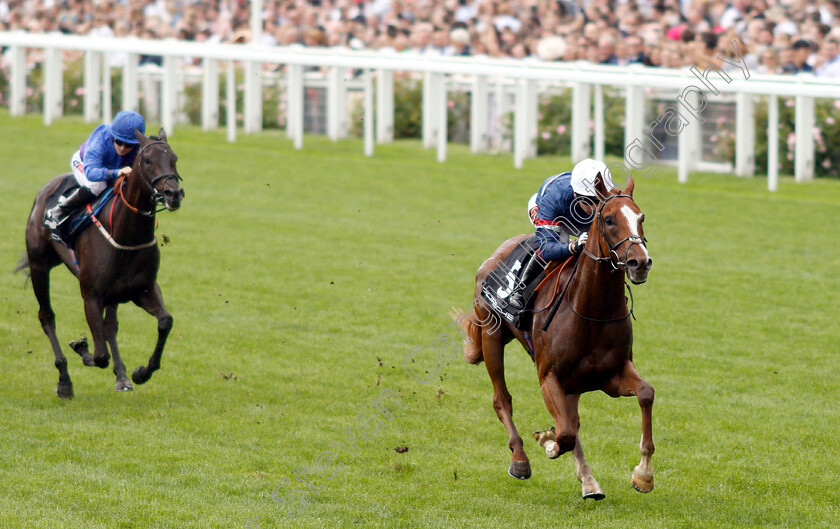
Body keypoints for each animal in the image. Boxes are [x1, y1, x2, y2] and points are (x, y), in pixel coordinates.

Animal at [17, 130, 185, 398]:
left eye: (174, 159)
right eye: (147, 160)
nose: (174, 194)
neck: (127, 233)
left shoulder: (143, 289)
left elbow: (165, 321)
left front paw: (140, 372)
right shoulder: (92, 295)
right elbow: (99, 355)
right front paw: (80, 347)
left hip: (113, 293)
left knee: (110, 326)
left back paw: (122, 376)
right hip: (39, 266)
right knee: (47, 317)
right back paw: (64, 380)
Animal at [456, 174, 652, 500]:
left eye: (641, 217)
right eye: (609, 219)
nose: (640, 262)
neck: (591, 310)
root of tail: (494, 256)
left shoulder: (612, 375)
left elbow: (646, 394)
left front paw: (644, 475)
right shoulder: (549, 376)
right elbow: (565, 434)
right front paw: (546, 441)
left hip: (573, 384)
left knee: (571, 420)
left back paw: (589, 482)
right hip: (492, 337)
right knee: (502, 400)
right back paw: (520, 459)